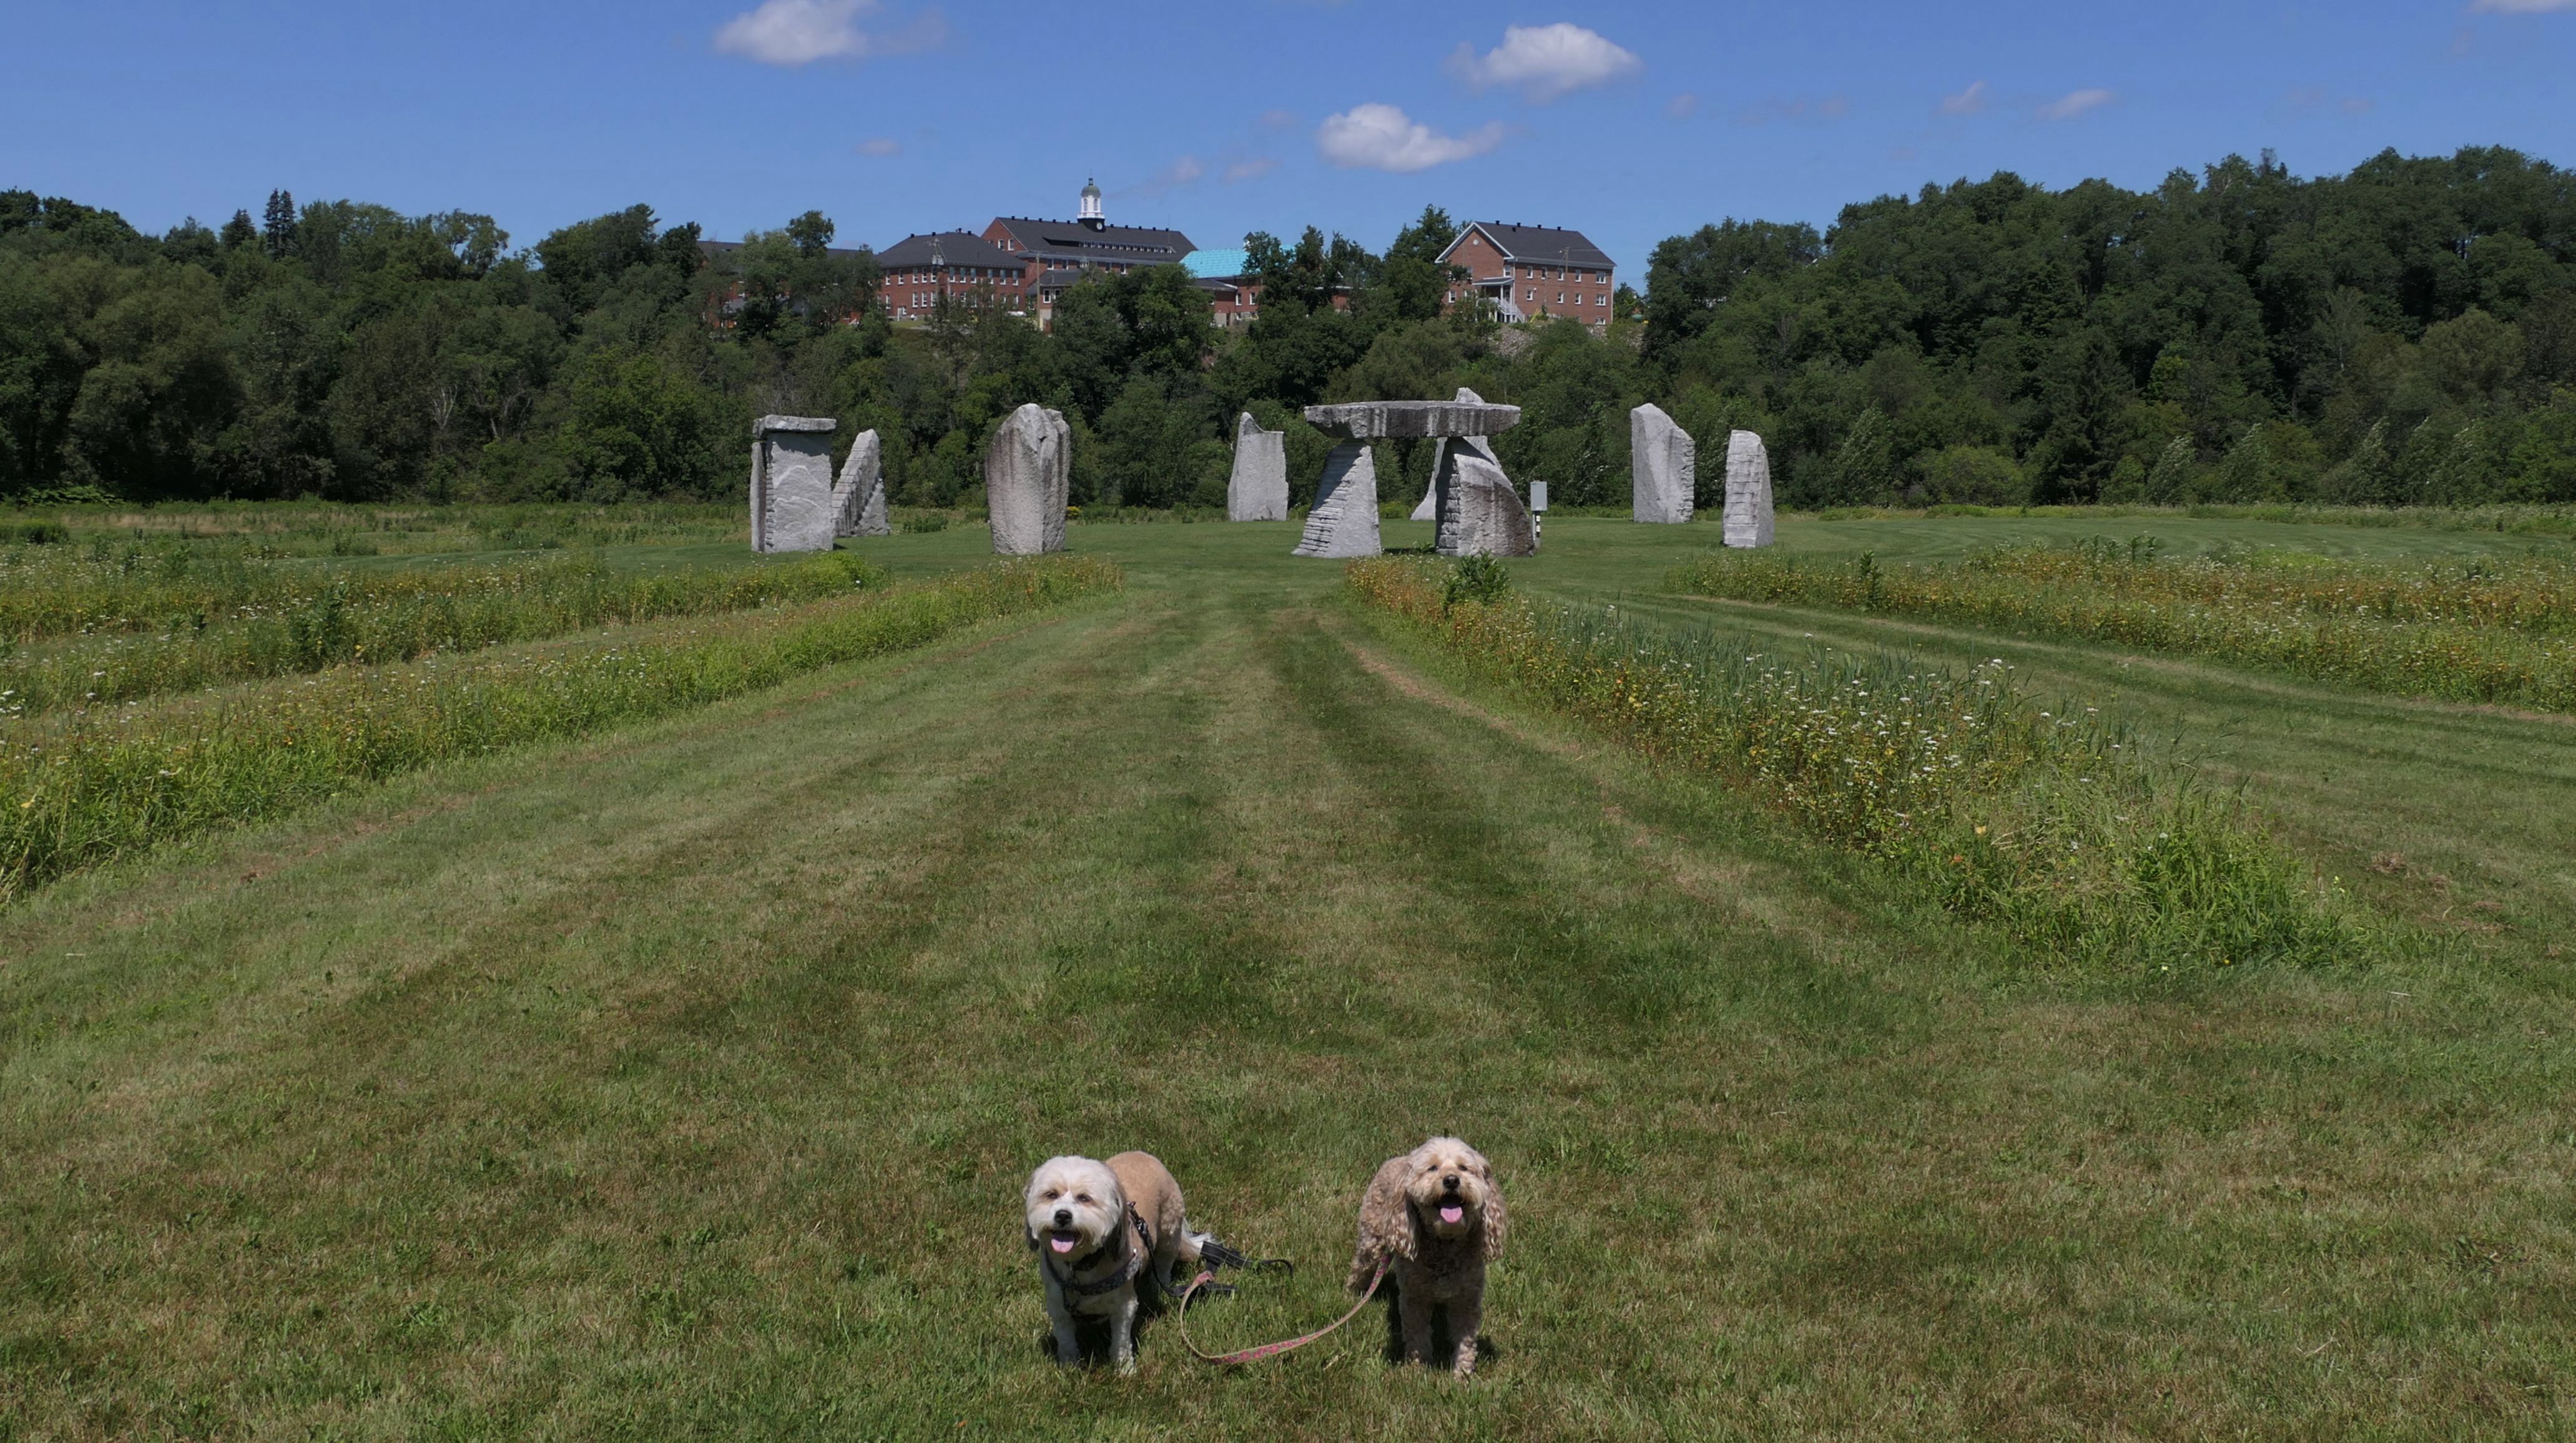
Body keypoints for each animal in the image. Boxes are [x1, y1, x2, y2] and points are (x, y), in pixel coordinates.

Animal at [1023, 1151, 1220, 1373]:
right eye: (1051, 1195)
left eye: (1084, 1198)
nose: (1063, 1215)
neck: (1082, 1264)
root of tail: (1143, 1154)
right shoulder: (1057, 1303)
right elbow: (1065, 1338)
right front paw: (1070, 1364)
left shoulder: (1123, 1305)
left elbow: (1121, 1340)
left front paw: (1124, 1368)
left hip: (1169, 1228)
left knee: (1164, 1263)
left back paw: (1157, 1286)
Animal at [1349, 1137, 1507, 1378]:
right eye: (1432, 1168)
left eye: (1464, 1168)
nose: (1451, 1180)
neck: (1445, 1242)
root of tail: (1396, 1159)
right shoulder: (1414, 1298)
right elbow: (1417, 1337)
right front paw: (1419, 1369)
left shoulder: (1467, 1299)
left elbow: (1466, 1340)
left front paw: (1462, 1375)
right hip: (1371, 1242)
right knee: (1359, 1268)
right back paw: (1353, 1295)